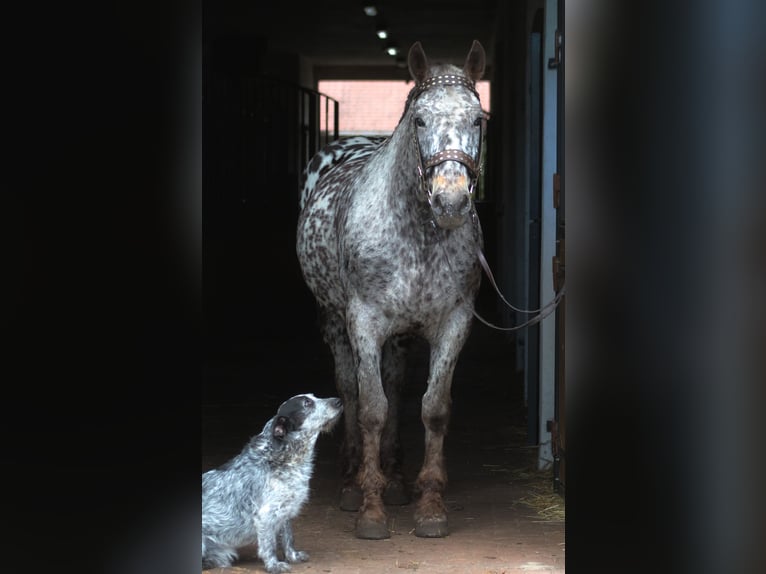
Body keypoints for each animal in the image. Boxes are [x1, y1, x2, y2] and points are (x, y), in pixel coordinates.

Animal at [202, 394, 344, 572]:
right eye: (307, 403)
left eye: (314, 397)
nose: (339, 401)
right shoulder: (266, 514)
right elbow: (269, 545)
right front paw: (273, 565)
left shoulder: (285, 511)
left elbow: (288, 539)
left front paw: (293, 557)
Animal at [296, 39, 488, 540]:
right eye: (419, 119)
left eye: (478, 119)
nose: (450, 201)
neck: (417, 233)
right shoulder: (363, 321)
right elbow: (370, 408)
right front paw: (370, 509)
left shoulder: (454, 322)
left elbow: (432, 407)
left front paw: (430, 507)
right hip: (334, 319)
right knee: (349, 389)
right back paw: (351, 481)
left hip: (400, 337)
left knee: (398, 388)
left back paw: (396, 479)